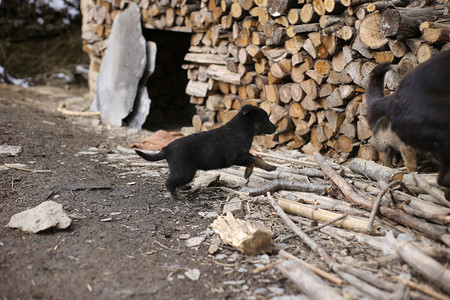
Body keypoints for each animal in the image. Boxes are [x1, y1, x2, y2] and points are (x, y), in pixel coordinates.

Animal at [135, 104, 278, 198]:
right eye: (265, 119)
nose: (276, 127)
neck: (243, 129)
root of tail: (166, 149)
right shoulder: (235, 156)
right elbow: (253, 159)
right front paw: (249, 172)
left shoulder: (243, 154)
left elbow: (257, 158)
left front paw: (267, 167)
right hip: (186, 171)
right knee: (169, 182)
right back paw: (177, 195)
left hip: (182, 171)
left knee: (173, 179)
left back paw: (182, 187)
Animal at [366, 50, 450, 198]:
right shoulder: (407, 148)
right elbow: (411, 162)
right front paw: (413, 171)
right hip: (382, 144)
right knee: (374, 145)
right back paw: (380, 160)